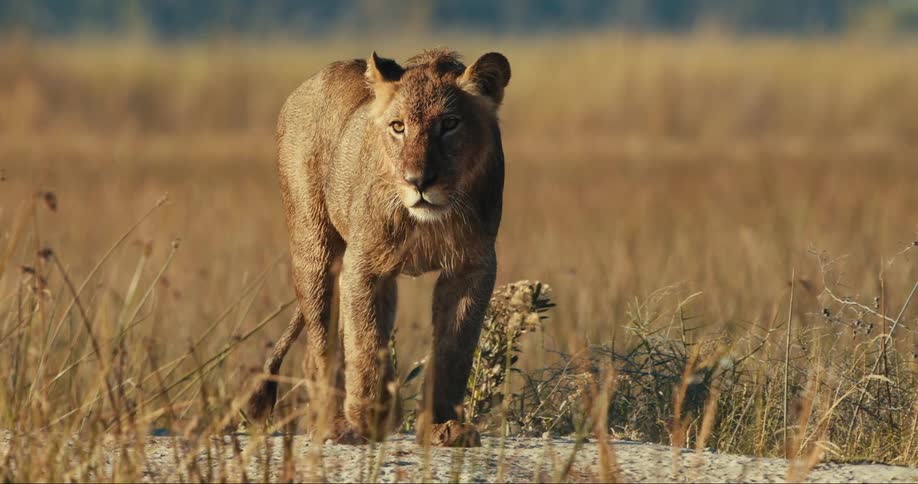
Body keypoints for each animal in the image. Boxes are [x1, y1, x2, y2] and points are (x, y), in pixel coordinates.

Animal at [245, 48, 510, 447]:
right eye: (398, 127)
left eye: (449, 123)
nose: (418, 181)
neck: (429, 220)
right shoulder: (364, 265)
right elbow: (367, 343)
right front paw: (371, 416)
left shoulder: (472, 267)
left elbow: (454, 350)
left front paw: (444, 425)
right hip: (315, 248)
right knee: (321, 347)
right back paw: (332, 424)